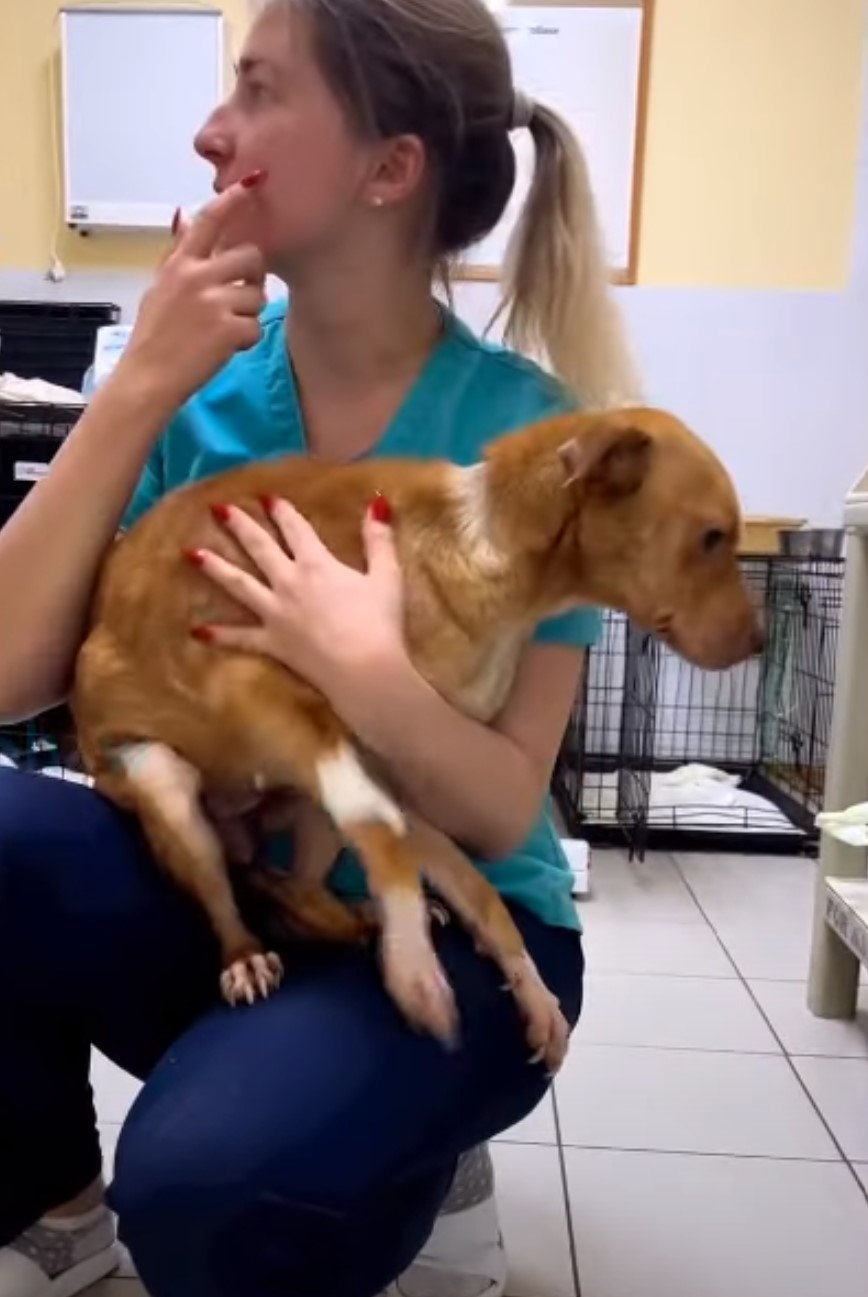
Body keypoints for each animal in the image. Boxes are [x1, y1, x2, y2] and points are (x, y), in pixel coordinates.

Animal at [72, 409, 757, 1068]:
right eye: (712, 537)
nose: (761, 643)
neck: (481, 547)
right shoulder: (254, 681)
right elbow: (375, 821)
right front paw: (415, 969)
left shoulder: (403, 777)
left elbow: (475, 888)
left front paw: (530, 990)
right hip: (165, 786)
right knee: (229, 890)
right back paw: (253, 952)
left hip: (310, 807)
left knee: (302, 888)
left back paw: (356, 913)